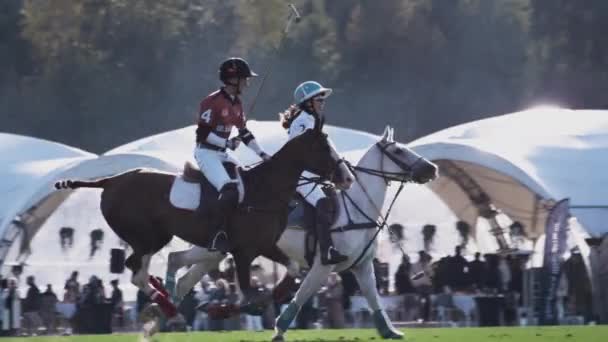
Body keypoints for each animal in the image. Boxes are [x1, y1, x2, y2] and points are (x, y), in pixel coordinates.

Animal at [55, 128, 356, 318]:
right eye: (324, 147)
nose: (347, 177)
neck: (264, 190)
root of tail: (109, 181)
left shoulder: (266, 246)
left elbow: (291, 269)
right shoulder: (243, 252)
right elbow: (247, 291)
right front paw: (229, 309)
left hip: (154, 237)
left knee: (142, 268)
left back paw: (165, 292)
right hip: (146, 237)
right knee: (135, 269)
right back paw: (167, 303)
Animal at [164, 127, 436, 340]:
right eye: (399, 151)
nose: (432, 169)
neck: (356, 210)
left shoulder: (363, 266)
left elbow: (374, 298)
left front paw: (390, 331)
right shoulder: (323, 266)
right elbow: (302, 295)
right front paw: (279, 328)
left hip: (216, 252)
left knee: (183, 274)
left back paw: (175, 313)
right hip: (215, 249)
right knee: (180, 266)